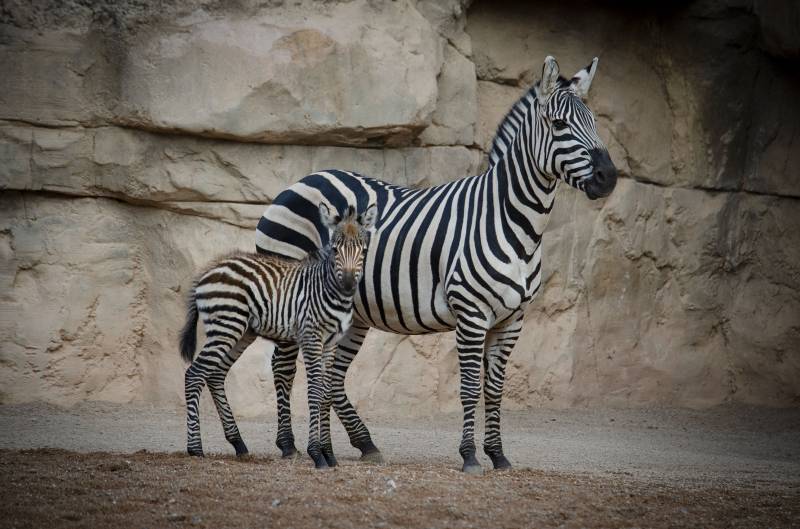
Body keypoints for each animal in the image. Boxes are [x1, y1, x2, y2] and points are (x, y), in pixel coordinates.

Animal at [180, 202, 376, 466]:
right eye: (335, 249)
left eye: (363, 250)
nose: (347, 285)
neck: (327, 289)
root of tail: (209, 270)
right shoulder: (311, 337)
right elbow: (314, 391)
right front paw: (317, 454)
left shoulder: (330, 343)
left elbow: (325, 393)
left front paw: (329, 454)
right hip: (226, 327)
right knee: (194, 375)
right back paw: (195, 448)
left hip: (241, 332)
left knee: (215, 374)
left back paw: (238, 443)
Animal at [256, 55, 620, 472]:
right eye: (559, 124)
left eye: (594, 124)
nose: (609, 177)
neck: (512, 221)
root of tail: (305, 178)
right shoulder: (472, 313)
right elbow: (470, 387)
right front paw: (470, 455)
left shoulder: (513, 319)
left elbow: (495, 389)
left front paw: (498, 455)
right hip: (291, 289)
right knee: (284, 367)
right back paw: (289, 445)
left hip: (351, 311)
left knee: (331, 376)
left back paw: (353, 445)